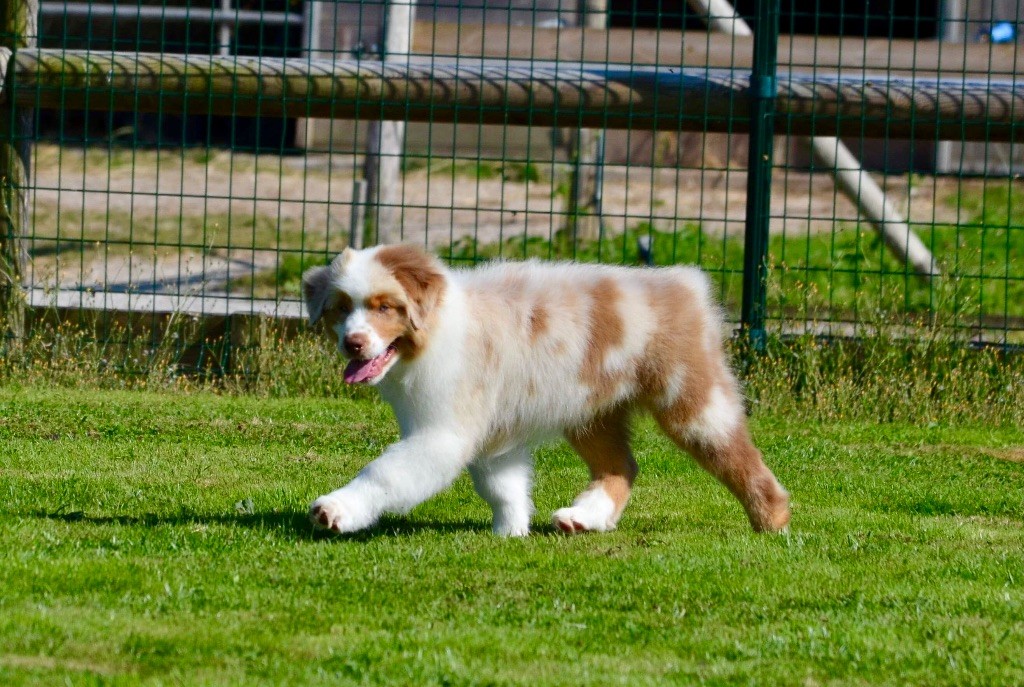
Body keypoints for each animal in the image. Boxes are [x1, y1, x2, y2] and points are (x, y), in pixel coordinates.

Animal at [299, 244, 786, 536]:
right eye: (341, 308)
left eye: (385, 307)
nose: (352, 343)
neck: (439, 326)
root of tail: (685, 282)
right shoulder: (492, 436)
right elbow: (502, 486)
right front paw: (510, 531)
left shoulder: (442, 434)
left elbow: (385, 473)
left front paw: (336, 509)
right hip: (589, 410)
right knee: (621, 466)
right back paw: (582, 518)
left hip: (691, 400)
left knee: (740, 459)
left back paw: (772, 521)